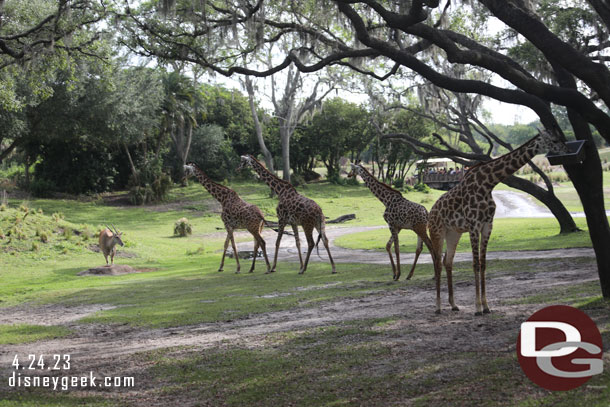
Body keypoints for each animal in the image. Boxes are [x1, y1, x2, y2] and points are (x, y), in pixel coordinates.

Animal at [426, 127, 568, 316]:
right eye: (554, 140)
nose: (567, 149)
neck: (488, 183)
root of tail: (431, 212)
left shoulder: (487, 225)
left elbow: (483, 264)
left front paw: (486, 306)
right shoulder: (474, 225)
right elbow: (475, 264)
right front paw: (477, 308)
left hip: (453, 233)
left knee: (447, 261)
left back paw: (454, 305)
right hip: (437, 232)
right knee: (436, 263)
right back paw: (437, 307)